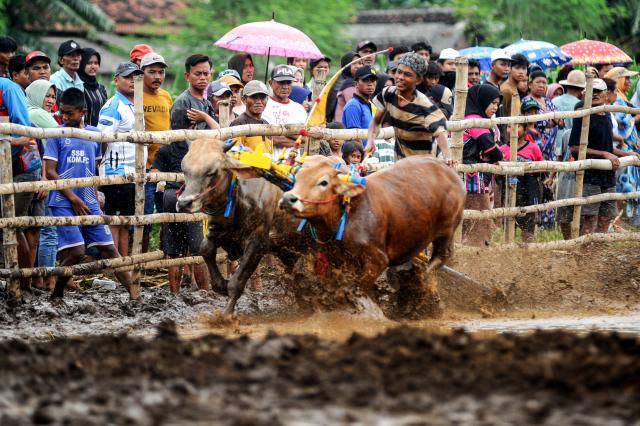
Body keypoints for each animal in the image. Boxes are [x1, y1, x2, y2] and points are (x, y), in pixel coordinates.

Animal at [279, 155, 466, 315]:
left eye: (323, 182)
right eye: (297, 177)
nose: (288, 198)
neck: (347, 212)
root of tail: (450, 171)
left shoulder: (378, 260)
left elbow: (356, 288)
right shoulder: (334, 259)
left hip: (447, 230)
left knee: (442, 256)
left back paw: (421, 283)